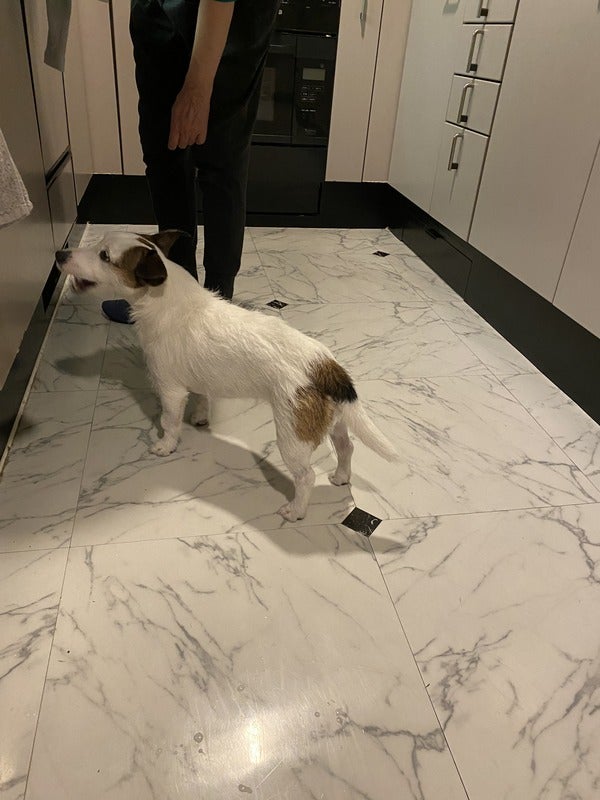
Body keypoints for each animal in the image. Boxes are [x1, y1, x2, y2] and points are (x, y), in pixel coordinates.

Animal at [55, 231, 398, 521]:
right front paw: (200, 417)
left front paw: (166, 445)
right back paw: (341, 476)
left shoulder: (170, 390)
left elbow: (169, 421)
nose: (60, 253)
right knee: (346, 447)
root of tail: (326, 366)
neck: (165, 300)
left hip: (292, 437)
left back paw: (296, 510)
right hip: (337, 421)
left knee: (307, 476)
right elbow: (201, 399)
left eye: (104, 255)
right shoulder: (196, 381)